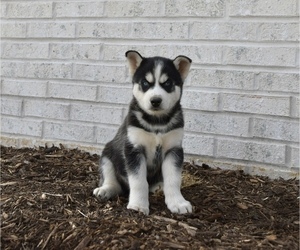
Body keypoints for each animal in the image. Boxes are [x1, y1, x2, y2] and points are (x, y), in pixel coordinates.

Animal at [93, 50, 192, 215]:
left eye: (167, 83)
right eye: (146, 83)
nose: (155, 100)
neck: (156, 122)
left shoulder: (174, 150)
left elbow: (173, 179)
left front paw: (178, 203)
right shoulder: (134, 149)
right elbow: (139, 181)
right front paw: (138, 205)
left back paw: (159, 187)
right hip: (108, 154)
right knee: (113, 180)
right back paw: (106, 189)